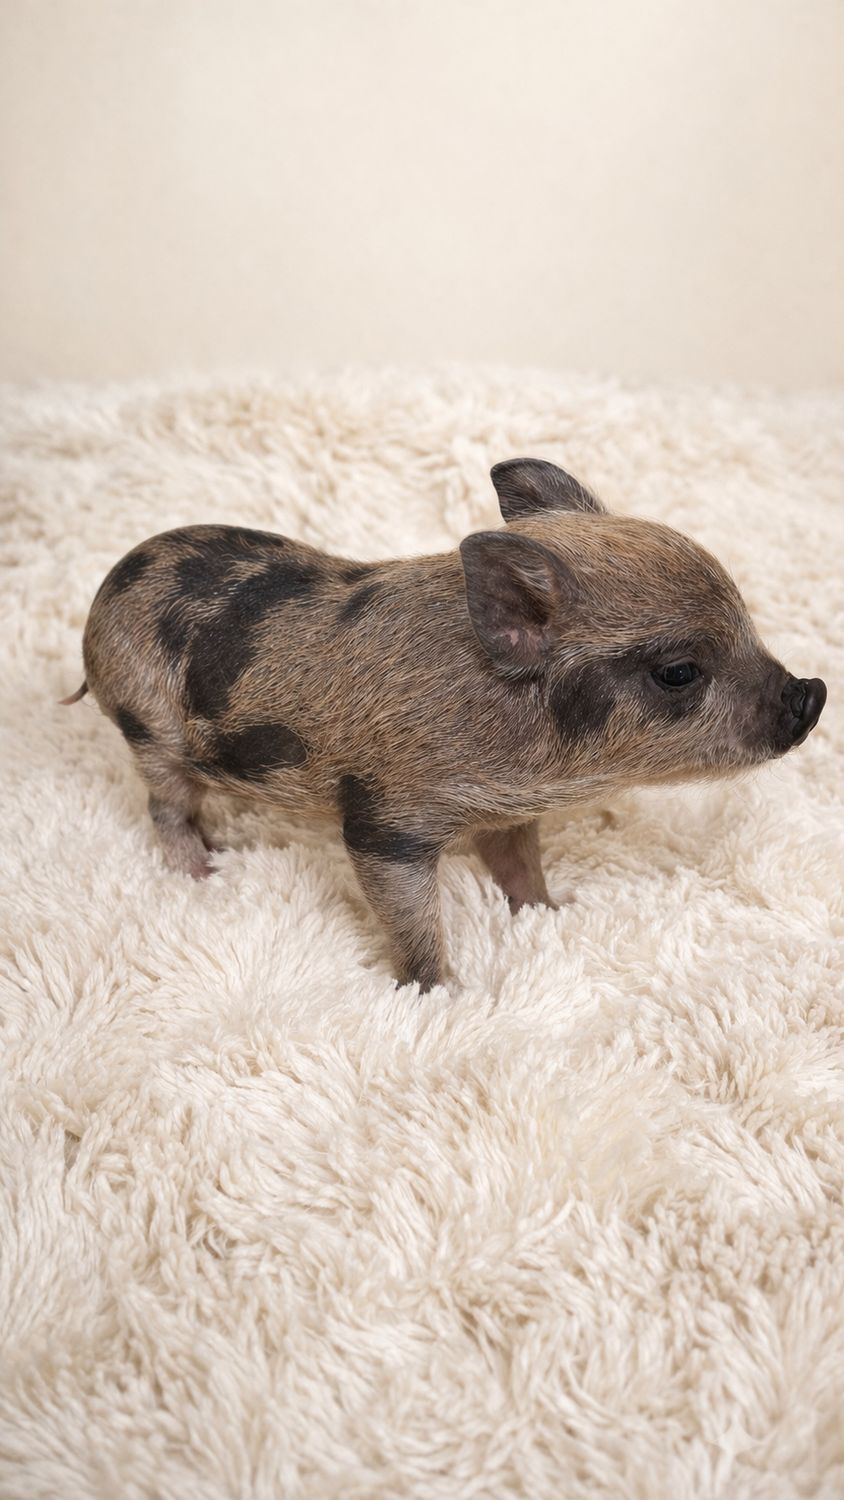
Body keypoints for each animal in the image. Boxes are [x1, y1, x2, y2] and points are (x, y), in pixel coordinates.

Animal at [63, 459, 827, 990]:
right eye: (678, 671)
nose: (814, 692)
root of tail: (105, 591)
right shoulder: (384, 823)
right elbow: (411, 918)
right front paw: (440, 994)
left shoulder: (508, 812)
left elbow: (521, 867)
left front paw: (551, 915)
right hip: (147, 728)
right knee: (165, 808)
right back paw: (206, 873)